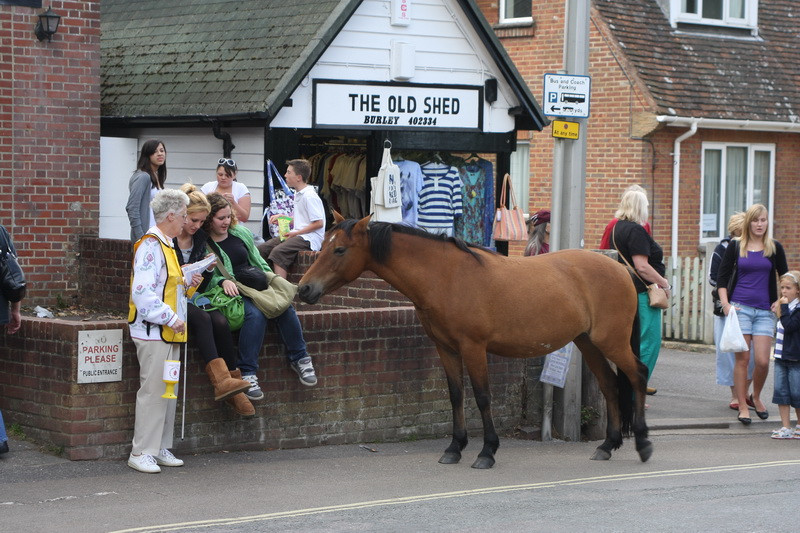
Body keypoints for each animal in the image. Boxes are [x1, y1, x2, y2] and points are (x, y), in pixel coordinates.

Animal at [300, 214, 648, 468]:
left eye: (340, 250)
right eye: (325, 245)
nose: (304, 288)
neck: (446, 276)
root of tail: (620, 268)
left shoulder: (474, 348)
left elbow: (481, 396)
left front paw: (487, 451)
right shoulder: (446, 348)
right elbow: (456, 395)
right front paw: (455, 447)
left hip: (612, 342)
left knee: (637, 376)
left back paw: (643, 443)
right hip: (588, 343)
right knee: (610, 385)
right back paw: (607, 445)